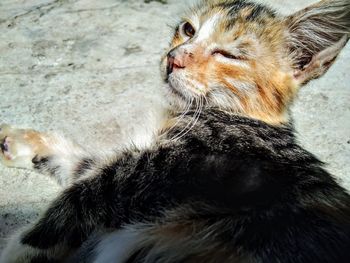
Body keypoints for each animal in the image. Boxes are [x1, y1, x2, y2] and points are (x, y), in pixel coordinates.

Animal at [0, 0, 350, 262]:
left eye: (228, 54)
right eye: (188, 30)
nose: (173, 58)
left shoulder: (181, 169)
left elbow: (88, 189)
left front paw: (23, 249)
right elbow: (86, 164)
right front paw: (17, 142)